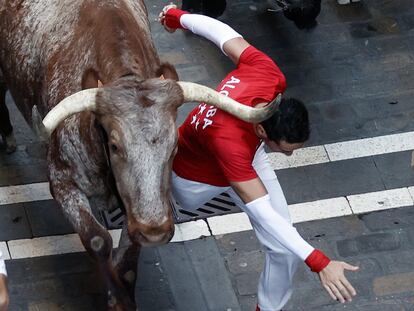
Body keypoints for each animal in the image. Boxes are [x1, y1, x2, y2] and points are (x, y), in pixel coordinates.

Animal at [0, 1, 278, 310]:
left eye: (175, 146)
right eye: (114, 145)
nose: (154, 231)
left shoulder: (133, 207)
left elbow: (128, 258)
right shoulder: (62, 181)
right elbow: (98, 240)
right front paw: (117, 295)